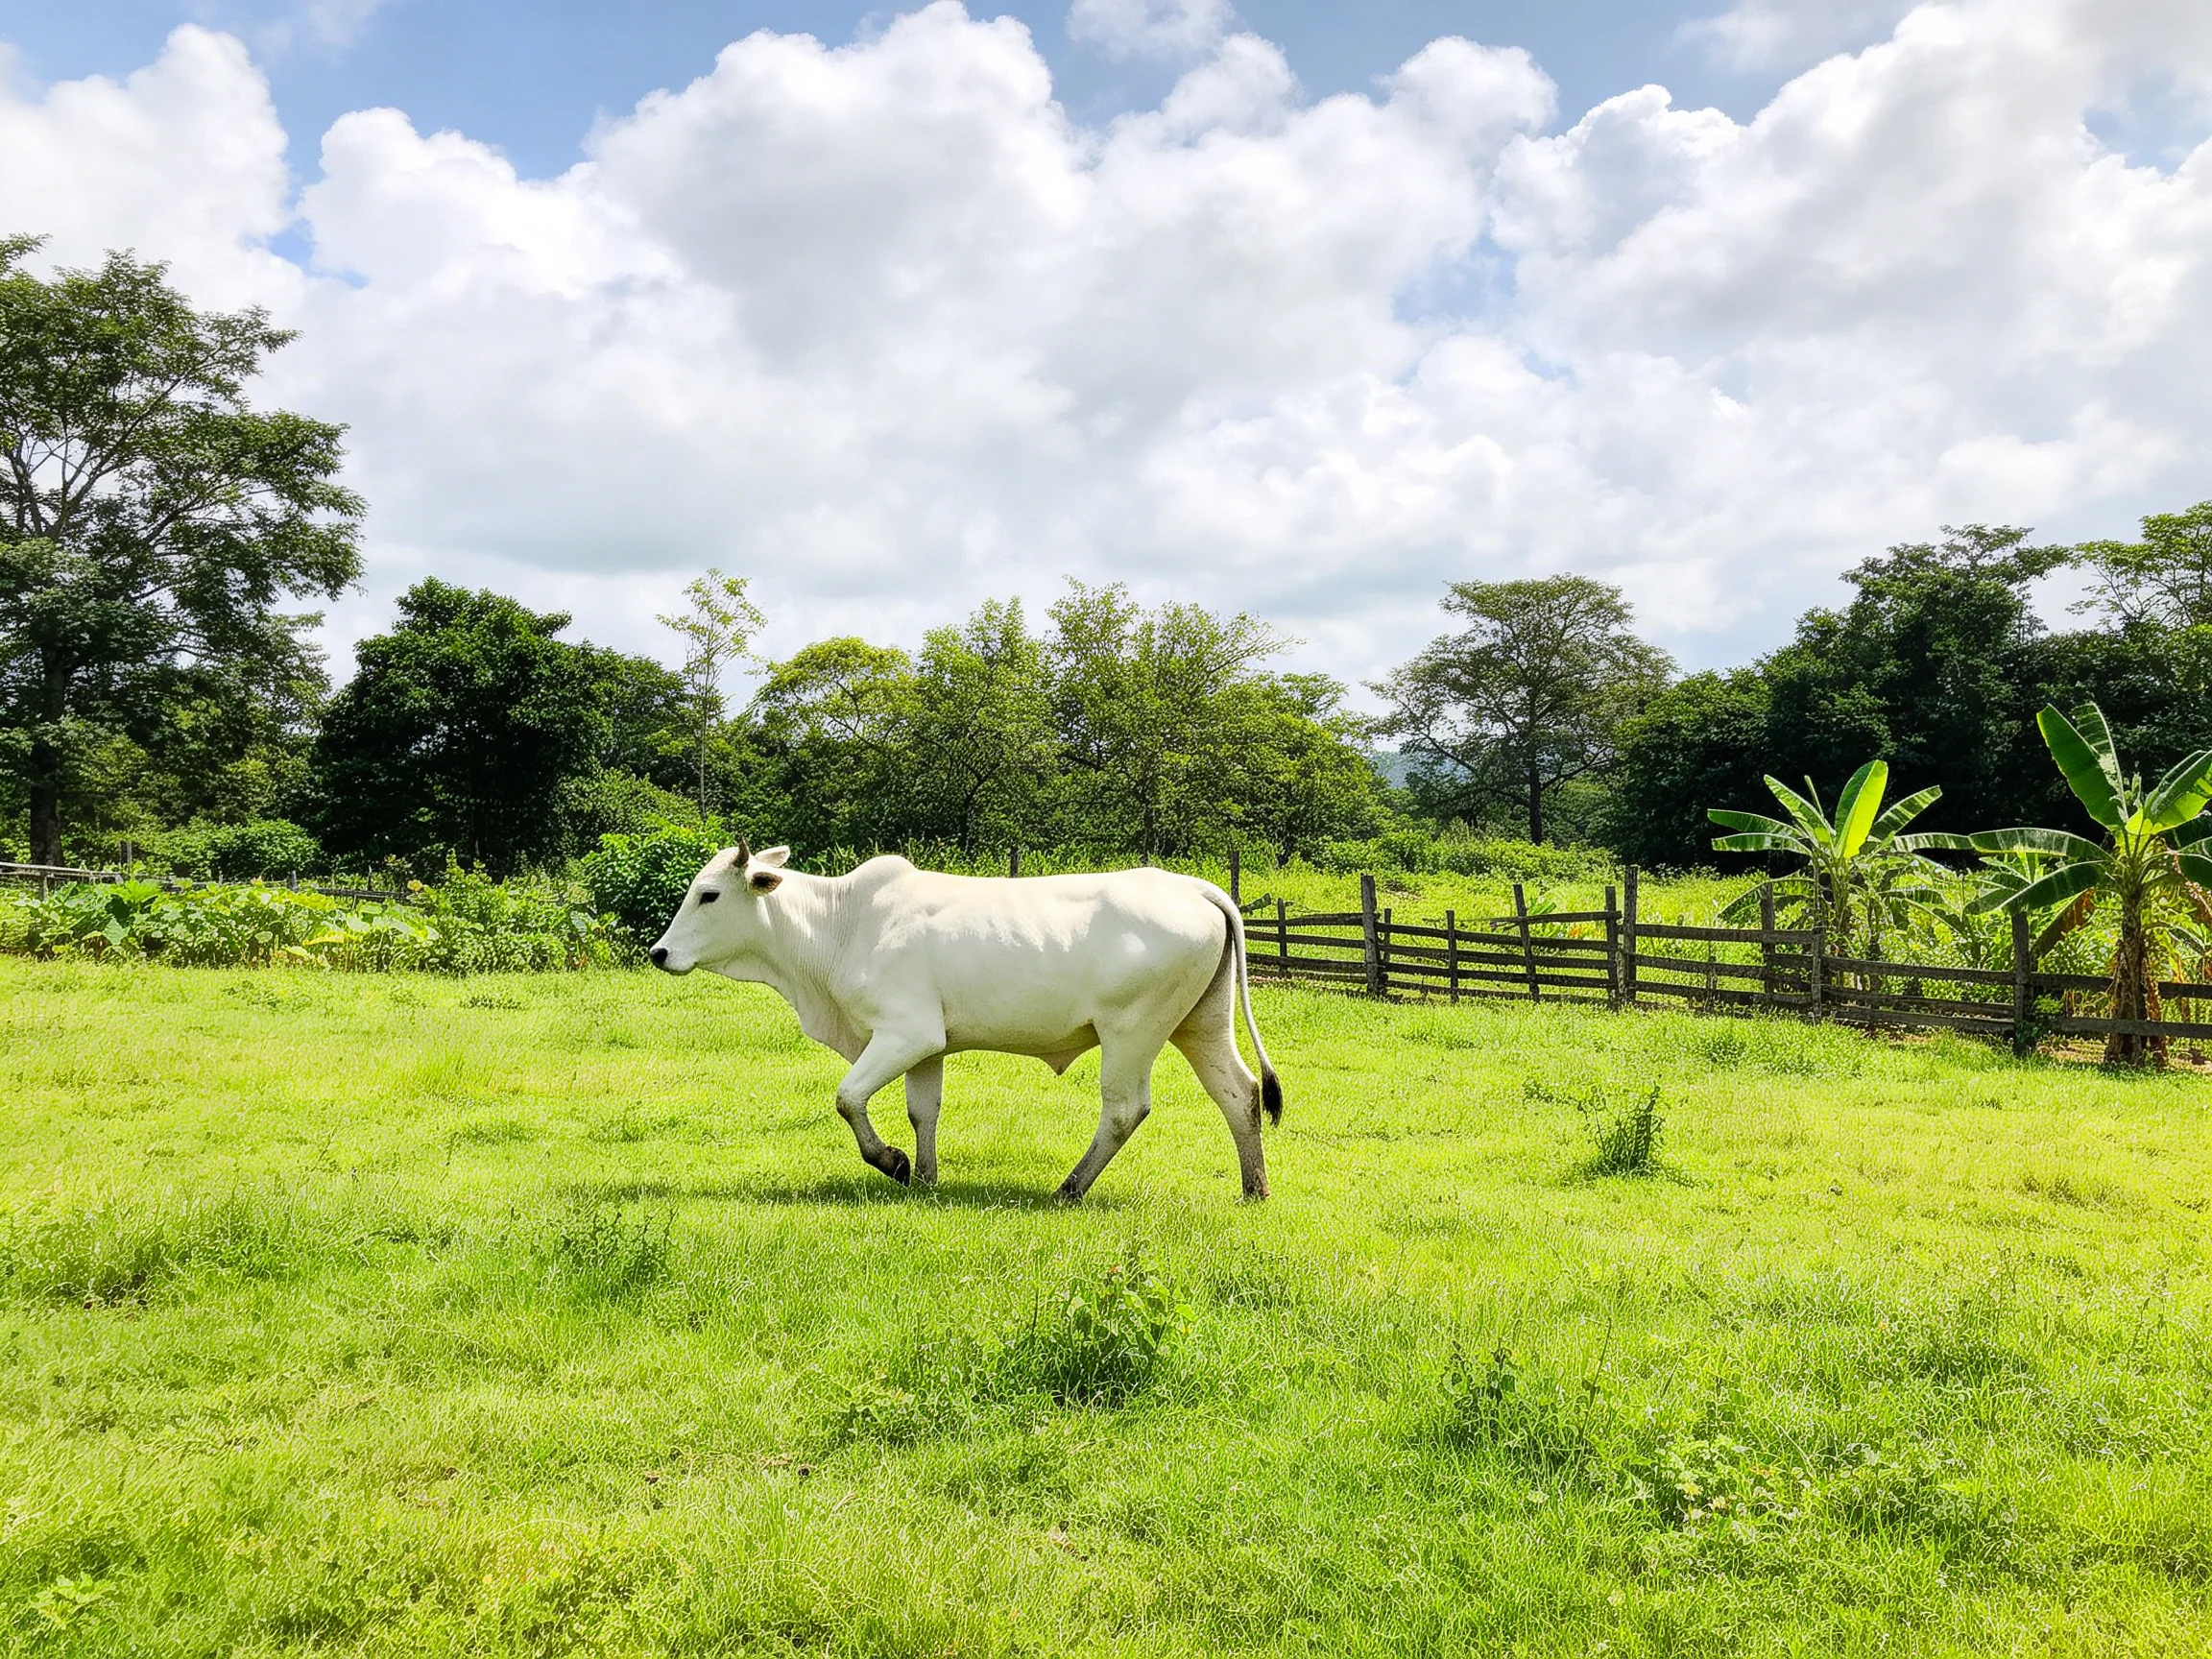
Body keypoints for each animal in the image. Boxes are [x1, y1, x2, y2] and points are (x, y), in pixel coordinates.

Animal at [648, 842, 1283, 1201]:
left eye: (708, 895)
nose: (659, 953)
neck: (841, 924)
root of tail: (1197, 888)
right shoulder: (927, 1048)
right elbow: (922, 1111)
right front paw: (925, 1177)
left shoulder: (905, 1033)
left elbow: (848, 1098)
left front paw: (893, 1162)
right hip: (1200, 1024)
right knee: (1240, 1094)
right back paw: (1254, 1189)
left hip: (1132, 1032)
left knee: (1125, 1110)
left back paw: (1070, 1187)